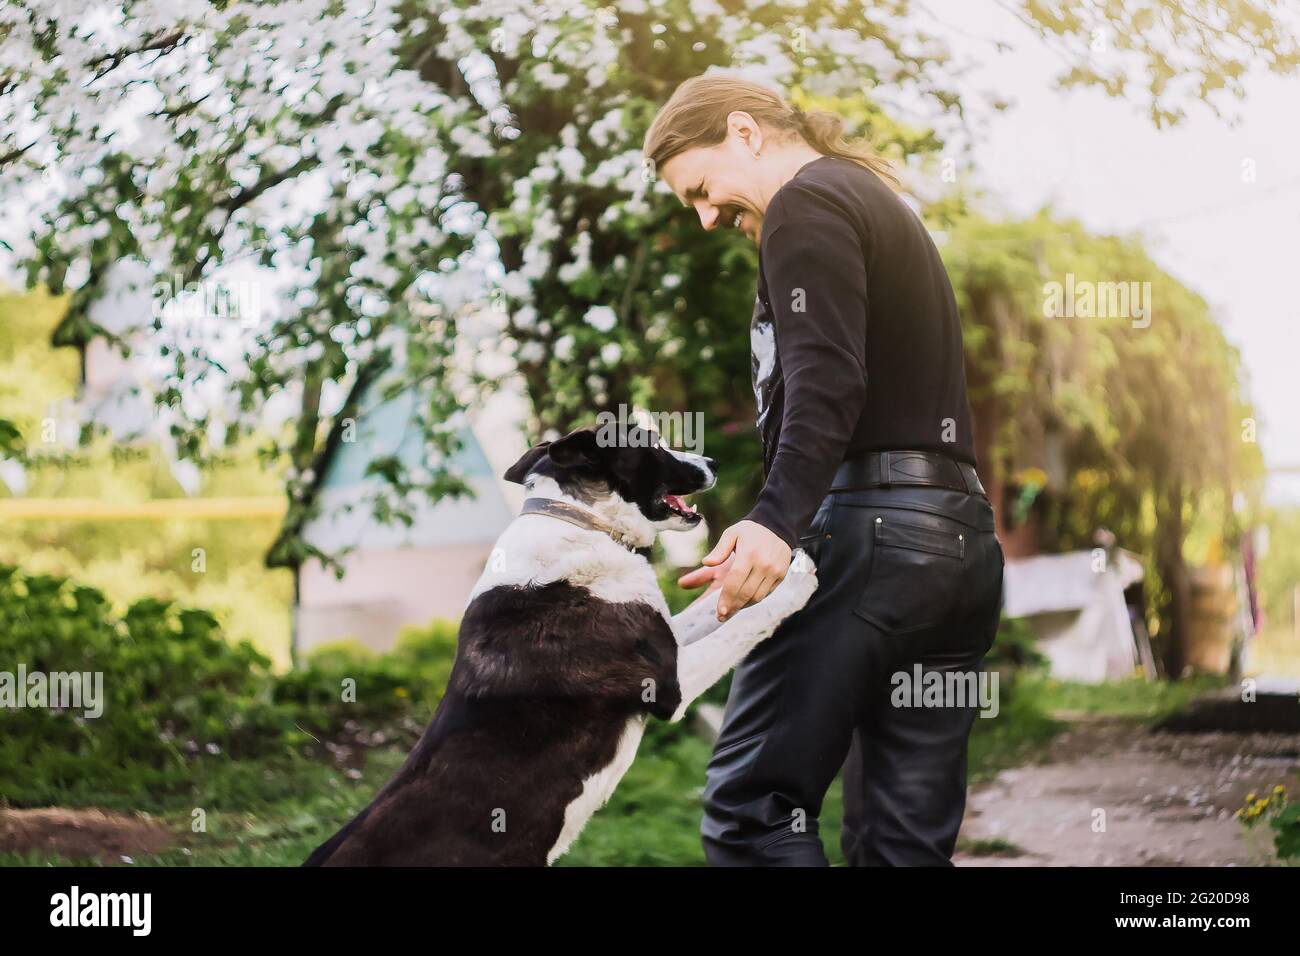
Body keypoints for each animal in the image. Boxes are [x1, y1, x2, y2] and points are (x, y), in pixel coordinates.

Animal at [302, 426, 811, 868]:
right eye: (650, 443)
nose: (713, 462)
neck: (583, 522)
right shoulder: (669, 685)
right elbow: (745, 624)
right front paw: (796, 580)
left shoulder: (666, 639)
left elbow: (714, 613)